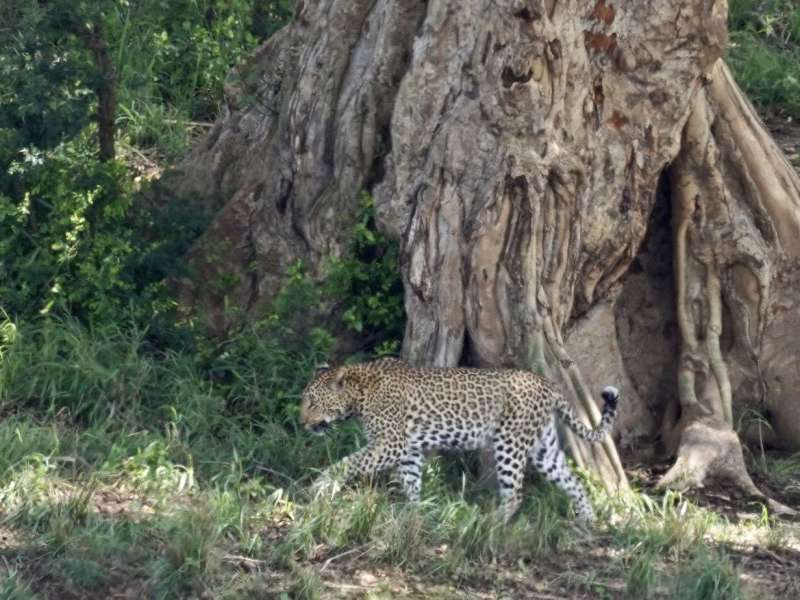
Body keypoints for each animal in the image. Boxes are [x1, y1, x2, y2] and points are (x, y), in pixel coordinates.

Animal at [299, 357, 619, 523]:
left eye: (312, 403)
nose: (302, 422)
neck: (360, 393)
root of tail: (546, 383)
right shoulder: (408, 450)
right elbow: (411, 481)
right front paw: (413, 513)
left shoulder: (390, 444)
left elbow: (350, 462)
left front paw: (322, 484)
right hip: (544, 449)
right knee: (573, 482)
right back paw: (587, 522)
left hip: (510, 443)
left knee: (515, 493)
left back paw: (491, 523)